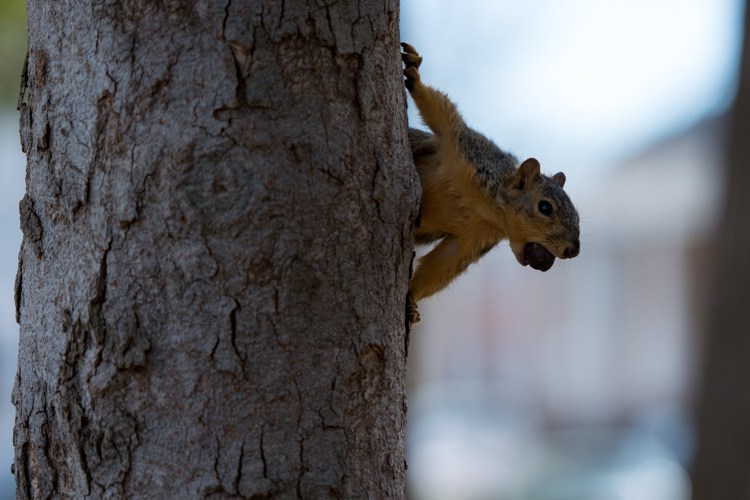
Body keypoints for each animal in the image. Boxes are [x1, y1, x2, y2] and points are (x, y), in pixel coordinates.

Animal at [406, 44, 580, 324]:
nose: (573, 250)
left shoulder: (472, 239)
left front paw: (411, 299)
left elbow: (442, 265)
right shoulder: (469, 150)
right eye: (545, 208)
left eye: (577, 215)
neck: (488, 210)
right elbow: (444, 116)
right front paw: (414, 74)